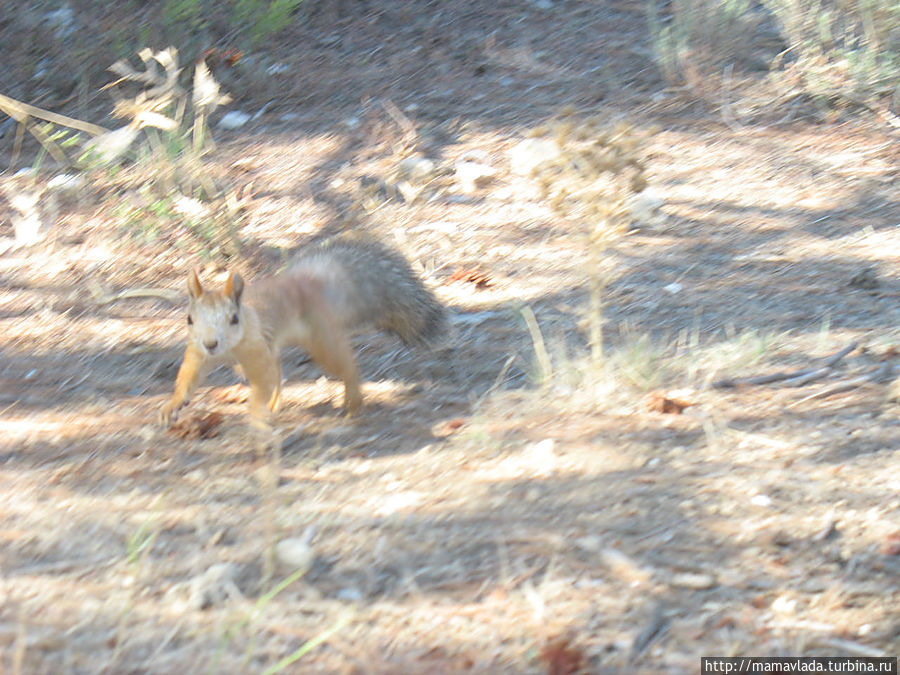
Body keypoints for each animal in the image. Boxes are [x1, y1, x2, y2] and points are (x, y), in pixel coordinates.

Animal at [160, 238, 448, 428]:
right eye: (189, 319)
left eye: (234, 319)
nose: (211, 343)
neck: (228, 350)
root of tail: (310, 282)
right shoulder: (198, 353)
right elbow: (188, 376)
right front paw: (173, 404)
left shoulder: (255, 350)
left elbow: (263, 382)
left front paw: (256, 410)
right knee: (278, 374)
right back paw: (275, 404)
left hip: (321, 339)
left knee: (346, 366)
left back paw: (353, 402)